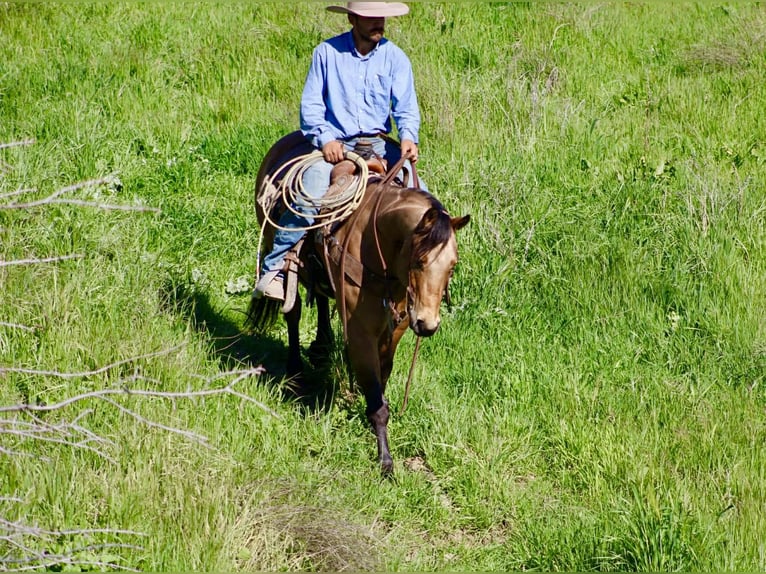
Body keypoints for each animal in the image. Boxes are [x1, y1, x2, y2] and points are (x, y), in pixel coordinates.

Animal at [248, 131, 470, 474]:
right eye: (420, 261)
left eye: (453, 265)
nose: (428, 324)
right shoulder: (361, 330)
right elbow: (376, 395)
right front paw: (386, 461)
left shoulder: (395, 329)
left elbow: (382, 381)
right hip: (283, 251)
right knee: (293, 313)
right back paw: (296, 372)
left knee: (320, 297)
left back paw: (322, 347)